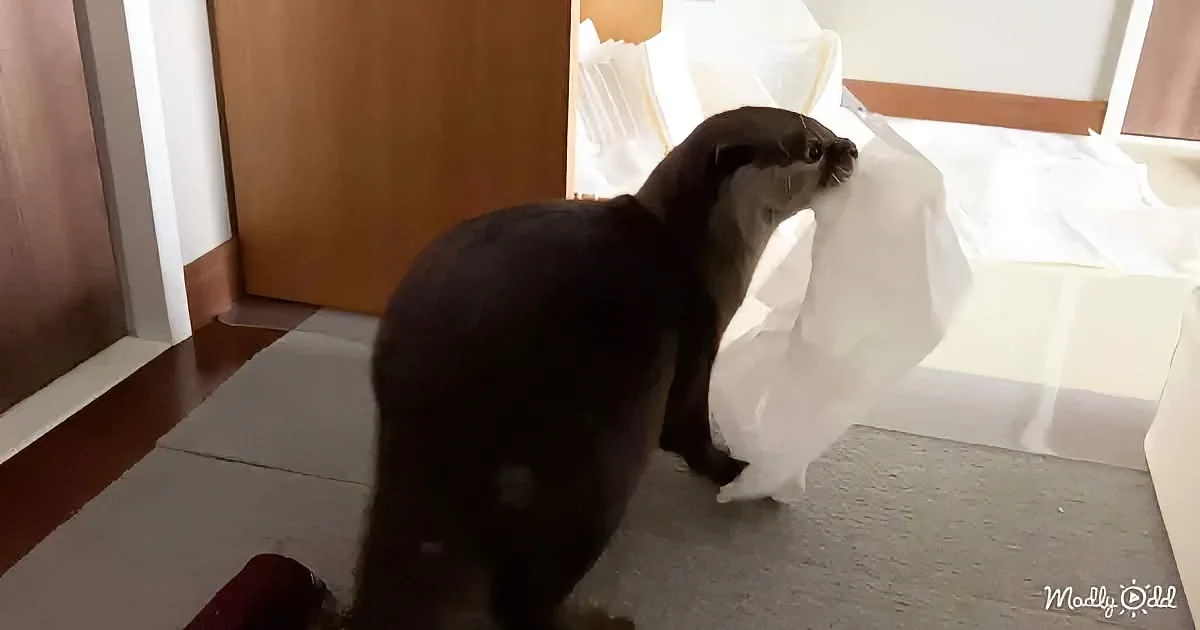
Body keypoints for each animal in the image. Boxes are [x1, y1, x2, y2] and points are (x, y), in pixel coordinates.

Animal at [348, 106, 857, 630]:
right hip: (600, 467)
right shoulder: (698, 340)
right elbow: (687, 431)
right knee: (523, 598)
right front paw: (731, 468)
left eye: (828, 130)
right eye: (813, 148)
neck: (694, 252)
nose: (853, 148)